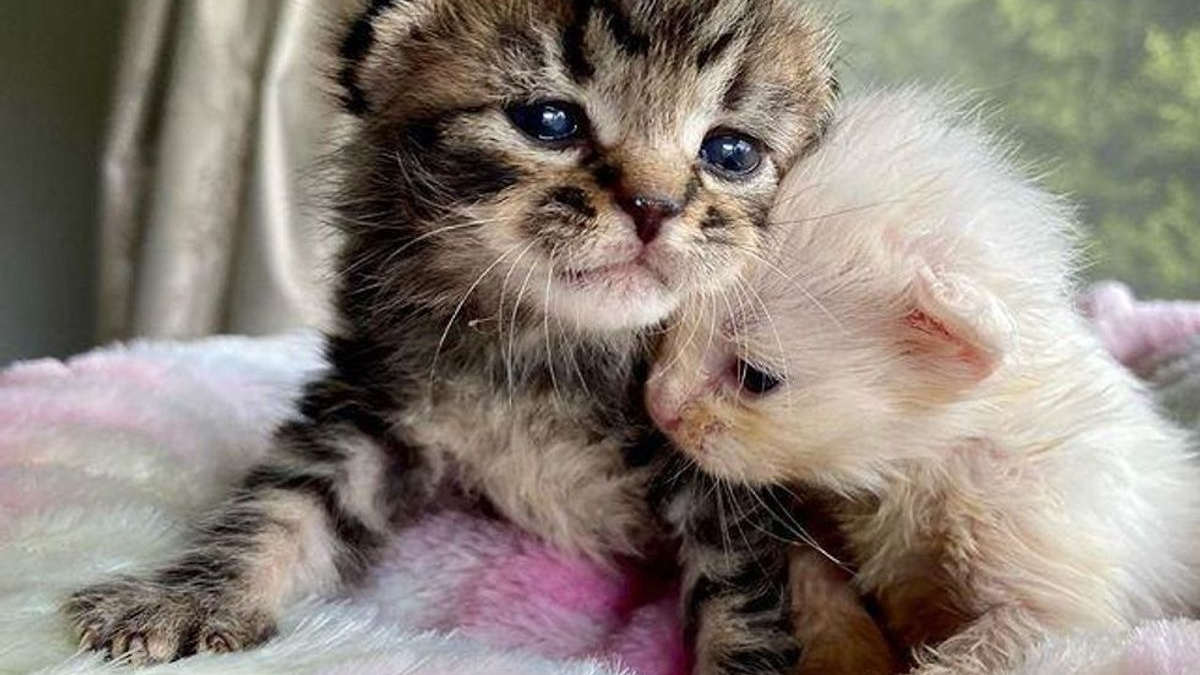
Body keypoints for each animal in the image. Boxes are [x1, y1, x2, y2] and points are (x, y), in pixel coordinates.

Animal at [65, 0, 835, 667]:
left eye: (731, 150)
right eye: (548, 120)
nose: (654, 205)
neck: (548, 346)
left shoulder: (733, 455)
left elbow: (742, 586)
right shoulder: (372, 401)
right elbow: (285, 502)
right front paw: (189, 598)